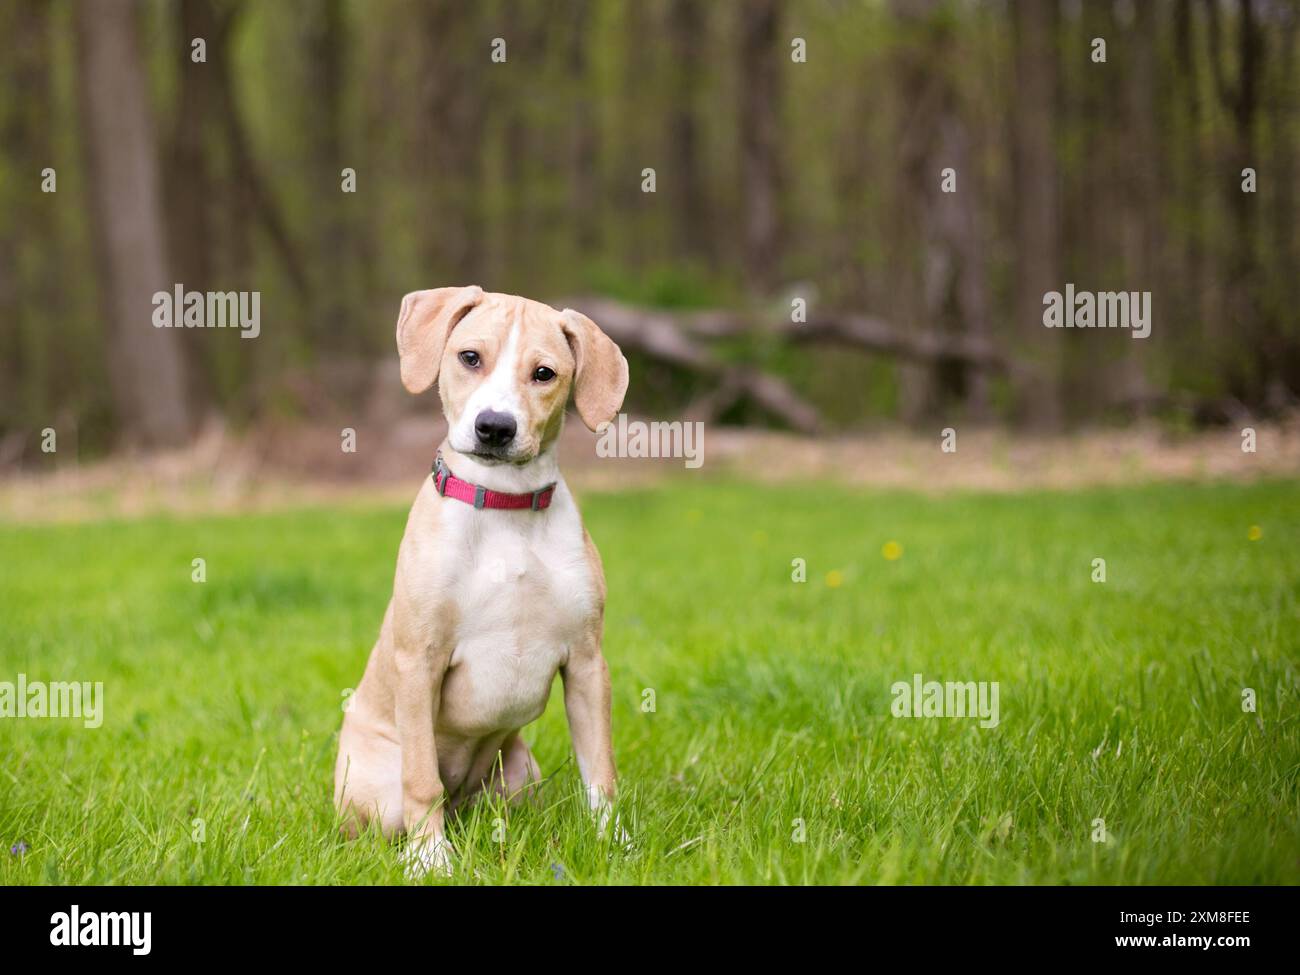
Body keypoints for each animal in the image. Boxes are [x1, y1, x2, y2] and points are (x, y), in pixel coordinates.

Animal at [335, 284, 629, 878]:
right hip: (374, 790)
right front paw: (431, 861)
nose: (495, 427)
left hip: (518, 776)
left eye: (544, 373)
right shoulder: (419, 661)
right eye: (470, 357)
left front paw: (613, 843)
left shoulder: (588, 663)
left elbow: (600, 770)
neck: (504, 507)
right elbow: (421, 779)